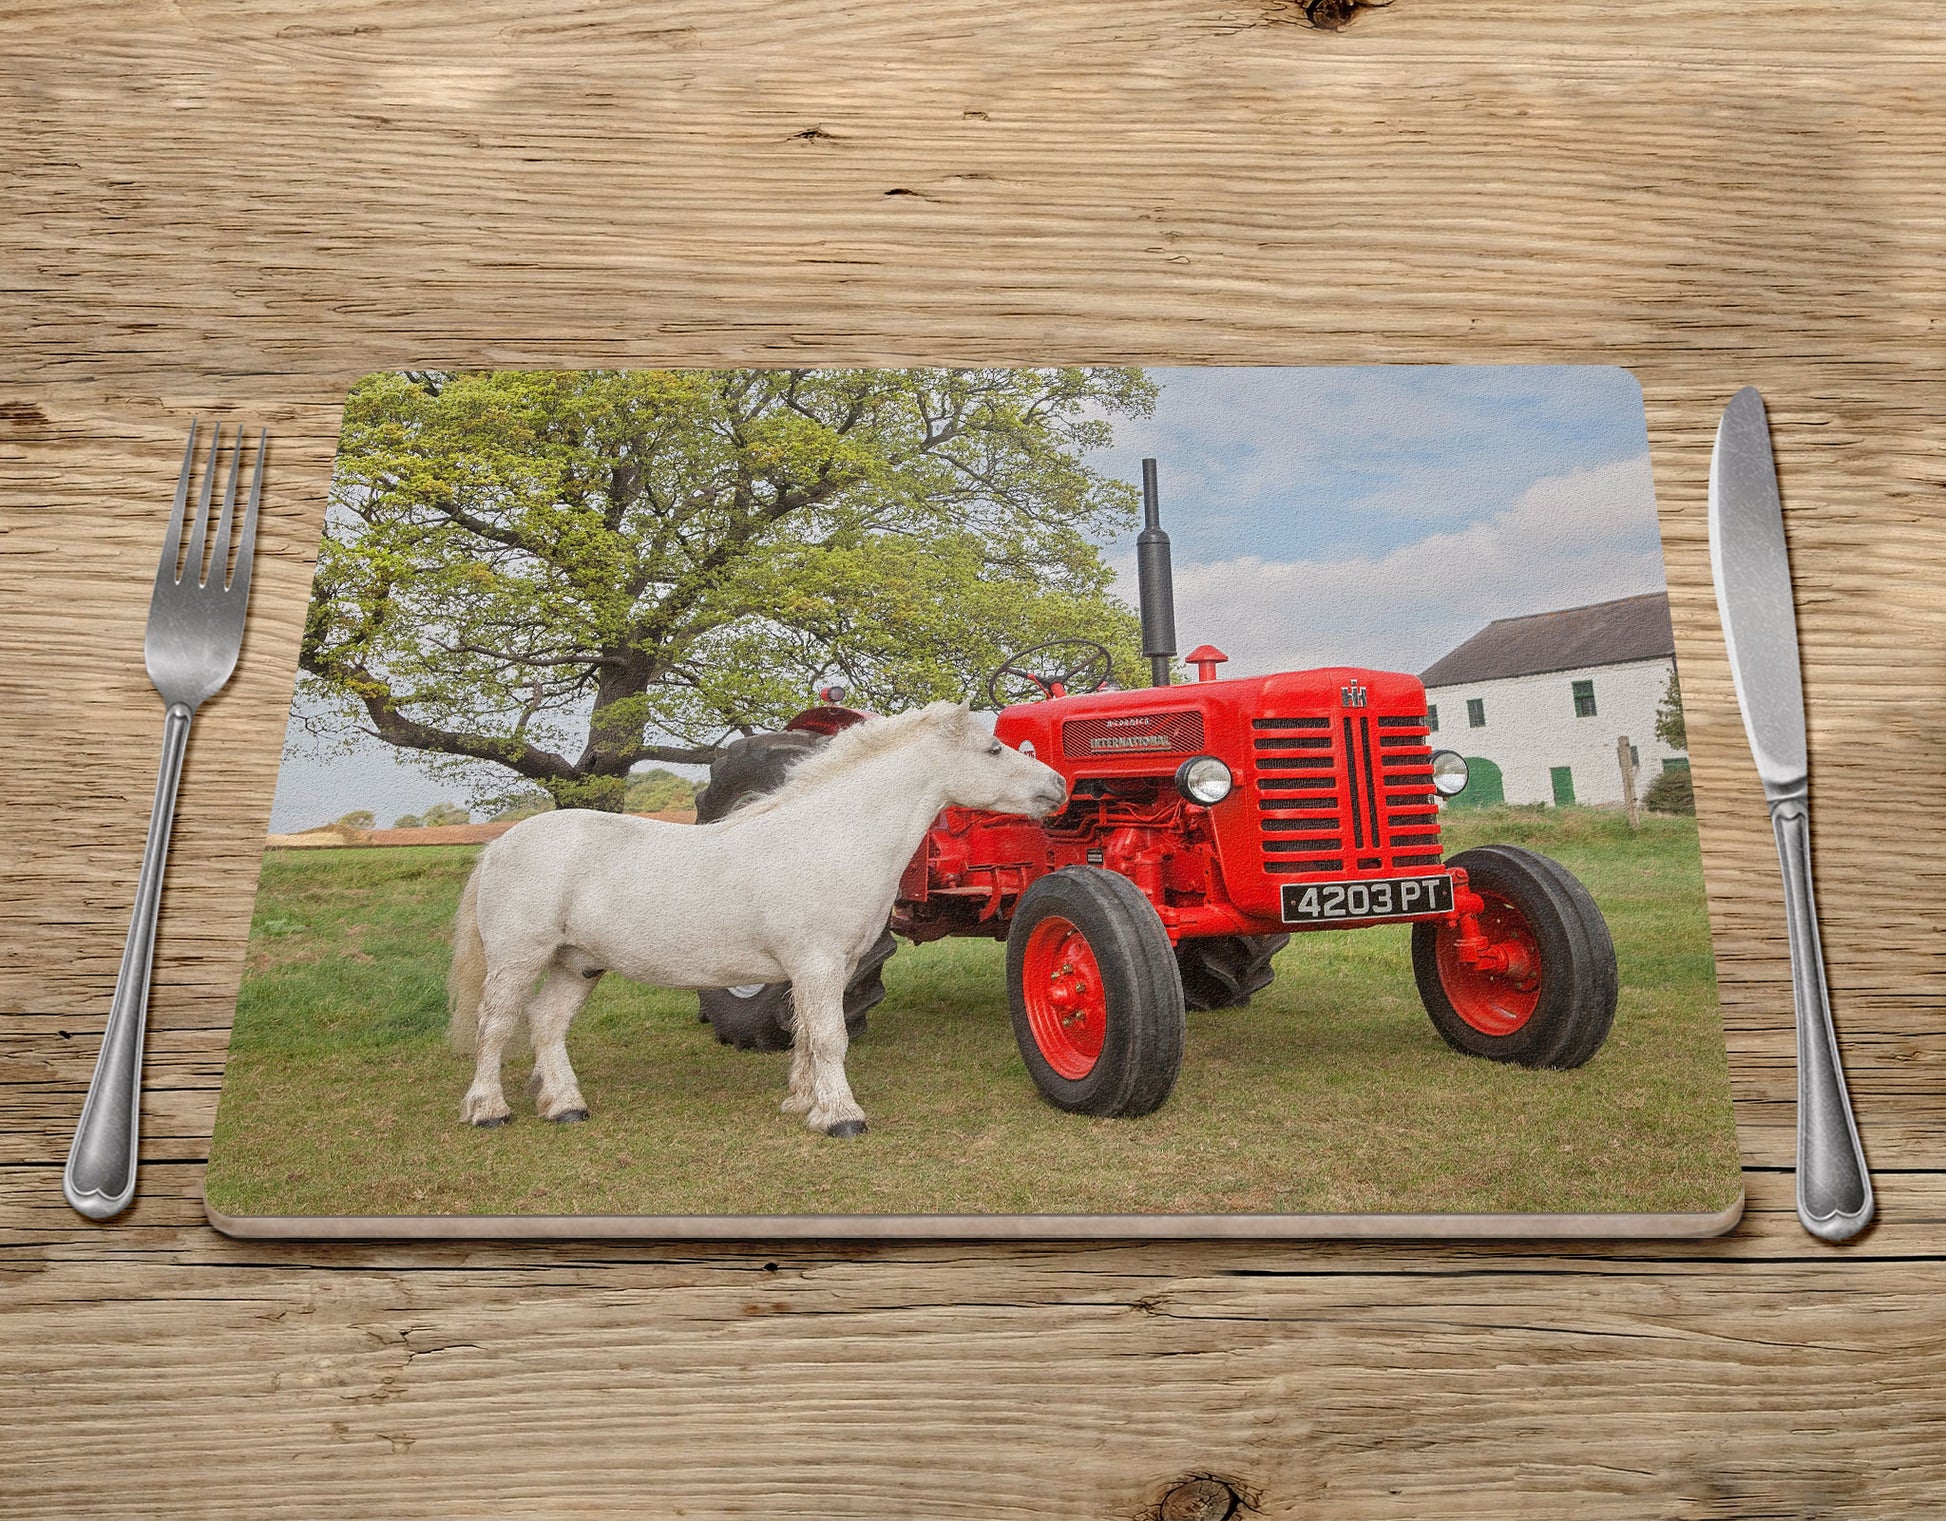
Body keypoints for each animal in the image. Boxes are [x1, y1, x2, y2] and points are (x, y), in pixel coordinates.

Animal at [445, 700, 1066, 1128]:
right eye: (993, 749)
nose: (1059, 784)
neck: (831, 835)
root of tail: (502, 844)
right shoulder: (816, 963)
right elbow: (831, 1037)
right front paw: (842, 1117)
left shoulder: (829, 968)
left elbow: (808, 1034)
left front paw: (803, 1102)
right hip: (518, 959)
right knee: (495, 1025)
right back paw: (488, 1109)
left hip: (577, 963)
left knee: (547, 1024)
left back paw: (566, 1107)